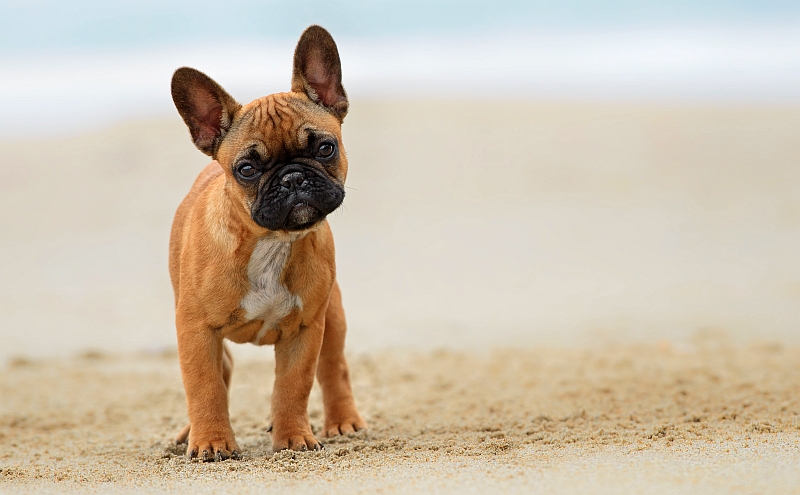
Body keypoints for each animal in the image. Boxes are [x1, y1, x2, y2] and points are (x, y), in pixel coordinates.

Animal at [172, 26, 368, 462]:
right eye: (246, 169)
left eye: (325, 148)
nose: (293, 178)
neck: (270, 244)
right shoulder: (196, 330)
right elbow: (205, 386)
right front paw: (212, 441)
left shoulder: (305, 330)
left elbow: (293, 387)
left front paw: (293, 437)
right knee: (222, 371)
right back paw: (190, 432)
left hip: (333, 316)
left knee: (335, 368)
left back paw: (342, 421)